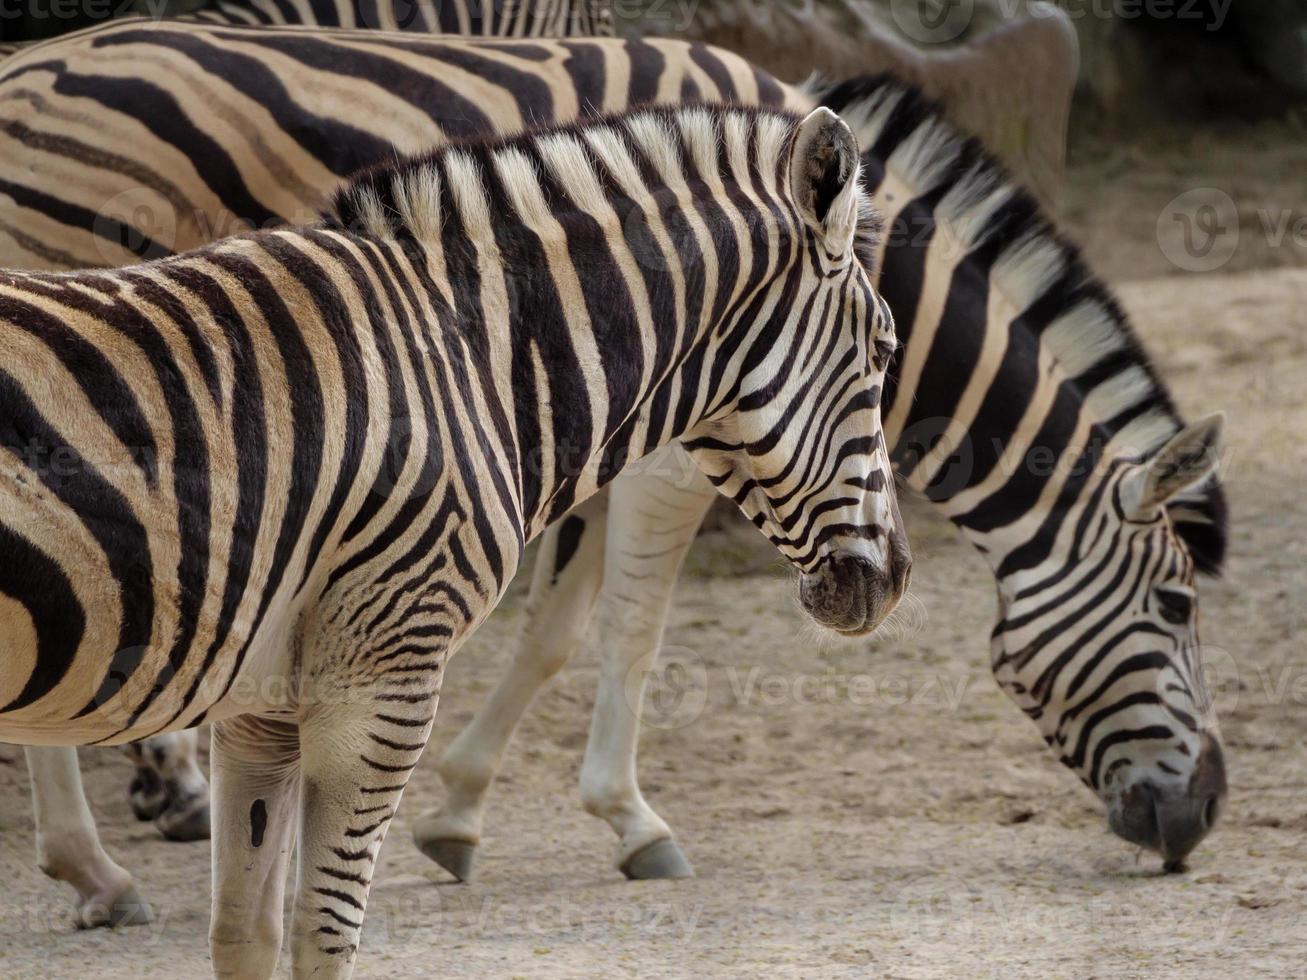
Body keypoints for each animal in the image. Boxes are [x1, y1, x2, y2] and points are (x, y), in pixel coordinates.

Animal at [0, 103, 909, 977]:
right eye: (882, 348)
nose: (896, 577)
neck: (467, 356)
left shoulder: (260, 705)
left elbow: (245, 934)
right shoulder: (381, 676)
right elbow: (324, 934)